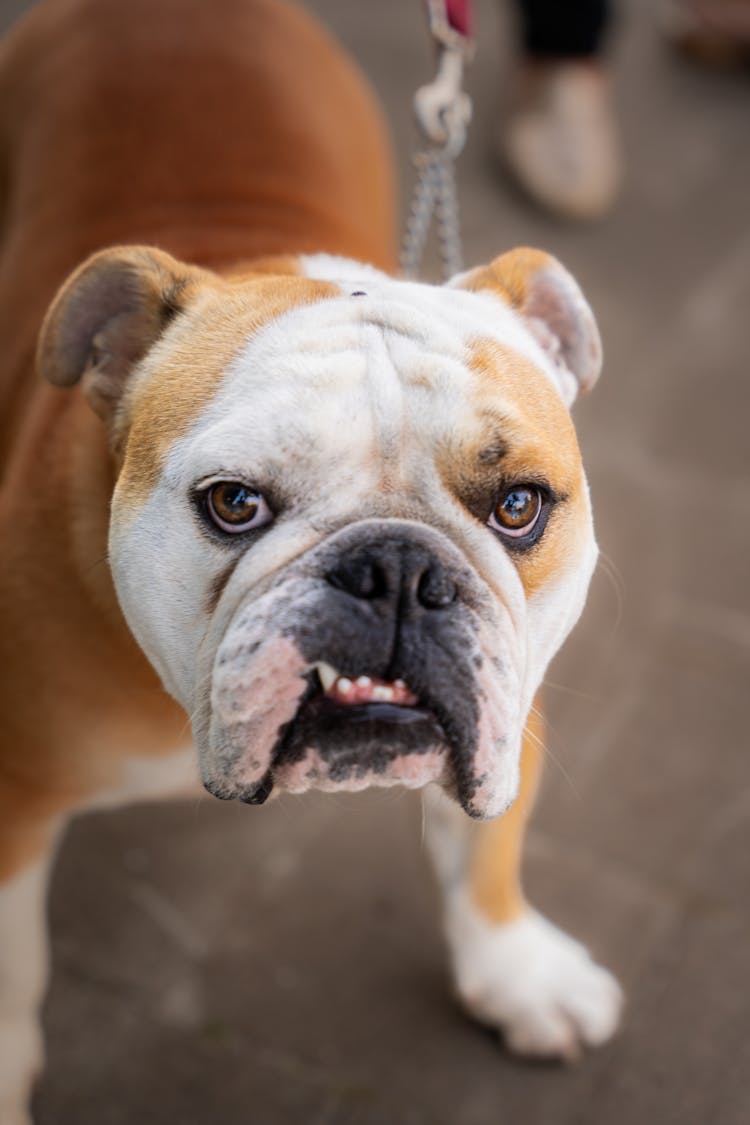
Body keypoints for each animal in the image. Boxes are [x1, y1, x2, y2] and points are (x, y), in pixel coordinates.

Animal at [0, 0, 620, 1111]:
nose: (399, 572)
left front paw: (516, 971)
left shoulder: (515, 698)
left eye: (518, 506)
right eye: (234, 504)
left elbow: (486, 847)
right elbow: (14, 961)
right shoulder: (14, 789)